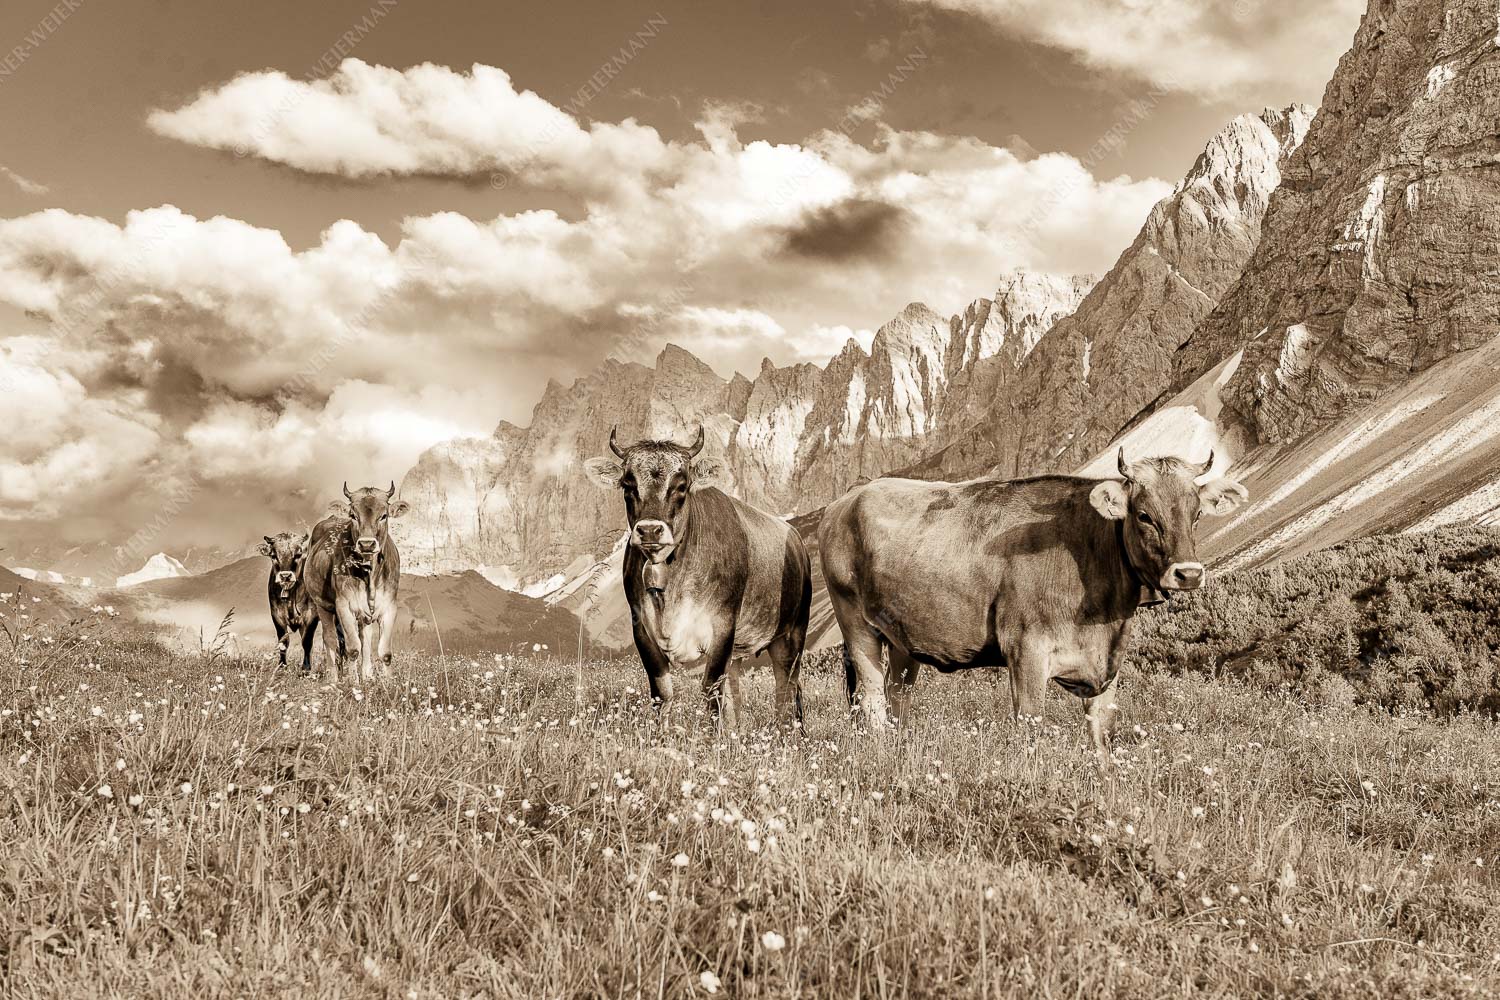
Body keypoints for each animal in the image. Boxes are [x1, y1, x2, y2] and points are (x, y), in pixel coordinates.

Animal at [258, 531, 319, 672]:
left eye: (298, 554)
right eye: (273, 555)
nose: (285, 576)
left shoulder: (312, 615)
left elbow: (307, 641)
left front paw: (306, 668)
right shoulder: (276, 614)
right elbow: (283, 641)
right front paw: (281, 666)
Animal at [304, 482, 409, 683]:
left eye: (384, 515)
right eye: (353, 515)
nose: (367, 544)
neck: (370, 574)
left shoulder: (389, 606)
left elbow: (384, 652)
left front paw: (388, 683)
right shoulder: (344, 605)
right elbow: (352, 648)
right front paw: (353, 682)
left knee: (365, 639)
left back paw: (367, 676)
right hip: (322, 606)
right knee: (330, 639)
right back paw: (333, 678)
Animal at [583, 426, 812, 729]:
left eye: (681, 485)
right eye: (628, 485)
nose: (650, 530)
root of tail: (796, 539)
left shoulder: (723, 626)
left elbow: (710, 689)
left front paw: (711, 737)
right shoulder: (641, 628)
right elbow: (662, 693)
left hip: (791, 633)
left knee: (786, 687)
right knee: (737, 692)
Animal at [818, 448, 1248, 759]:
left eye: (1196, 514)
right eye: (1144, 515)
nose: (1188, 573)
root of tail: (846, 500)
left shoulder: (1107, 665)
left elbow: (1102, 736)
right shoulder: (1026, 648)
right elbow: (1030, 724)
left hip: (903, 637)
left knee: (898, 698)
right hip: (855, 623)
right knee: (871, 701)